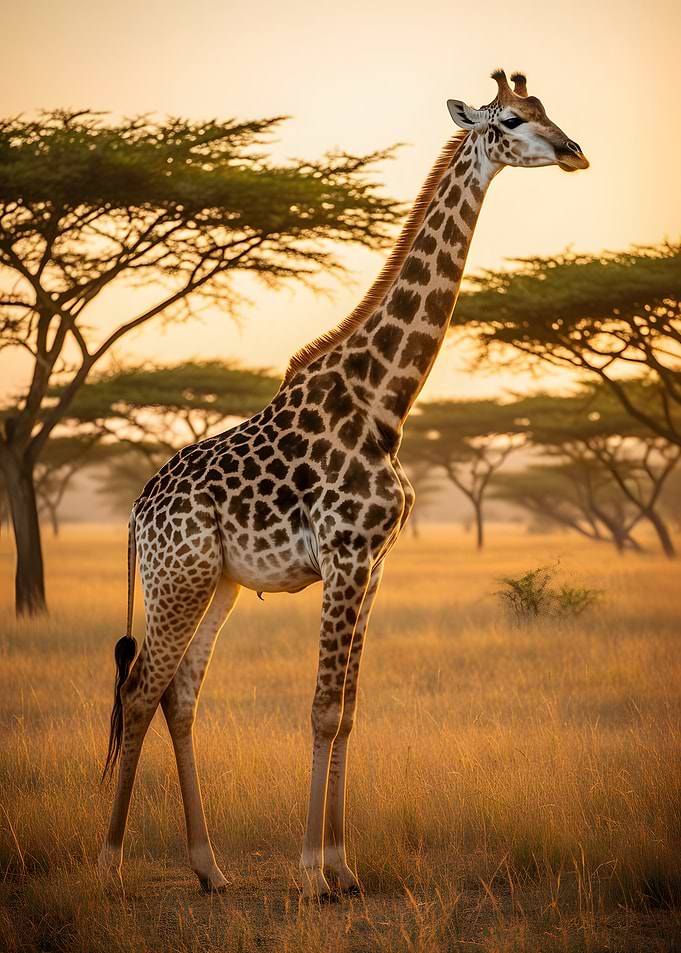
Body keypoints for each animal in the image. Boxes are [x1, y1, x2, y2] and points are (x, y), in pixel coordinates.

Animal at [98, 70, 588, 900]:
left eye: (550, 111)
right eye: (510, 121)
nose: (574, 152)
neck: (384, 399)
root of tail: (135, 513)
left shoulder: (374, 563)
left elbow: (350, 708)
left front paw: (342, 866)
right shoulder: (344, 556)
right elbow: (324, 706)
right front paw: (313, 873)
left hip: (218, 583)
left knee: (179, 692)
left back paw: (209, 867)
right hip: (177, 579)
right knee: (138, 691)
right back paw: (109, 863)